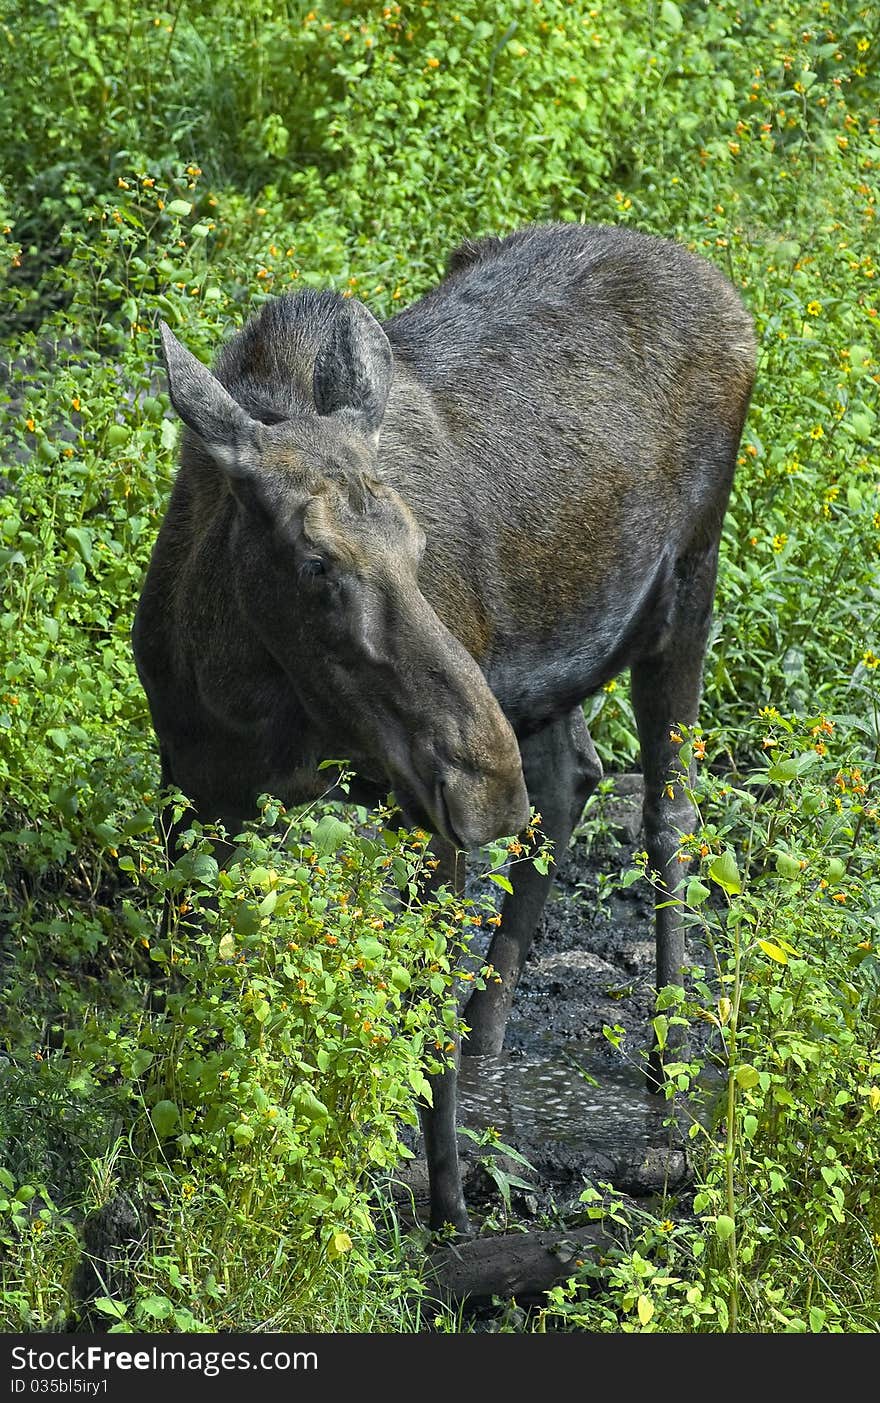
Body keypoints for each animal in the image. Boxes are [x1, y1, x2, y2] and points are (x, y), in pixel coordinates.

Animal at [136, 216, 757, 1229]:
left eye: (419, 545)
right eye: (316, 562)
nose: (480, 778)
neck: (248, 697)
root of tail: (727, 293)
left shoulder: (423, 817)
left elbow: (416, 1005)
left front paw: (449, 1208)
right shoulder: (193, 790)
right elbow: (177, 991)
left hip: (687, 588)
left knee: (667, 812)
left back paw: (668, 1060)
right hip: (546, 673)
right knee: (570, 781)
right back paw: (491, 1034)